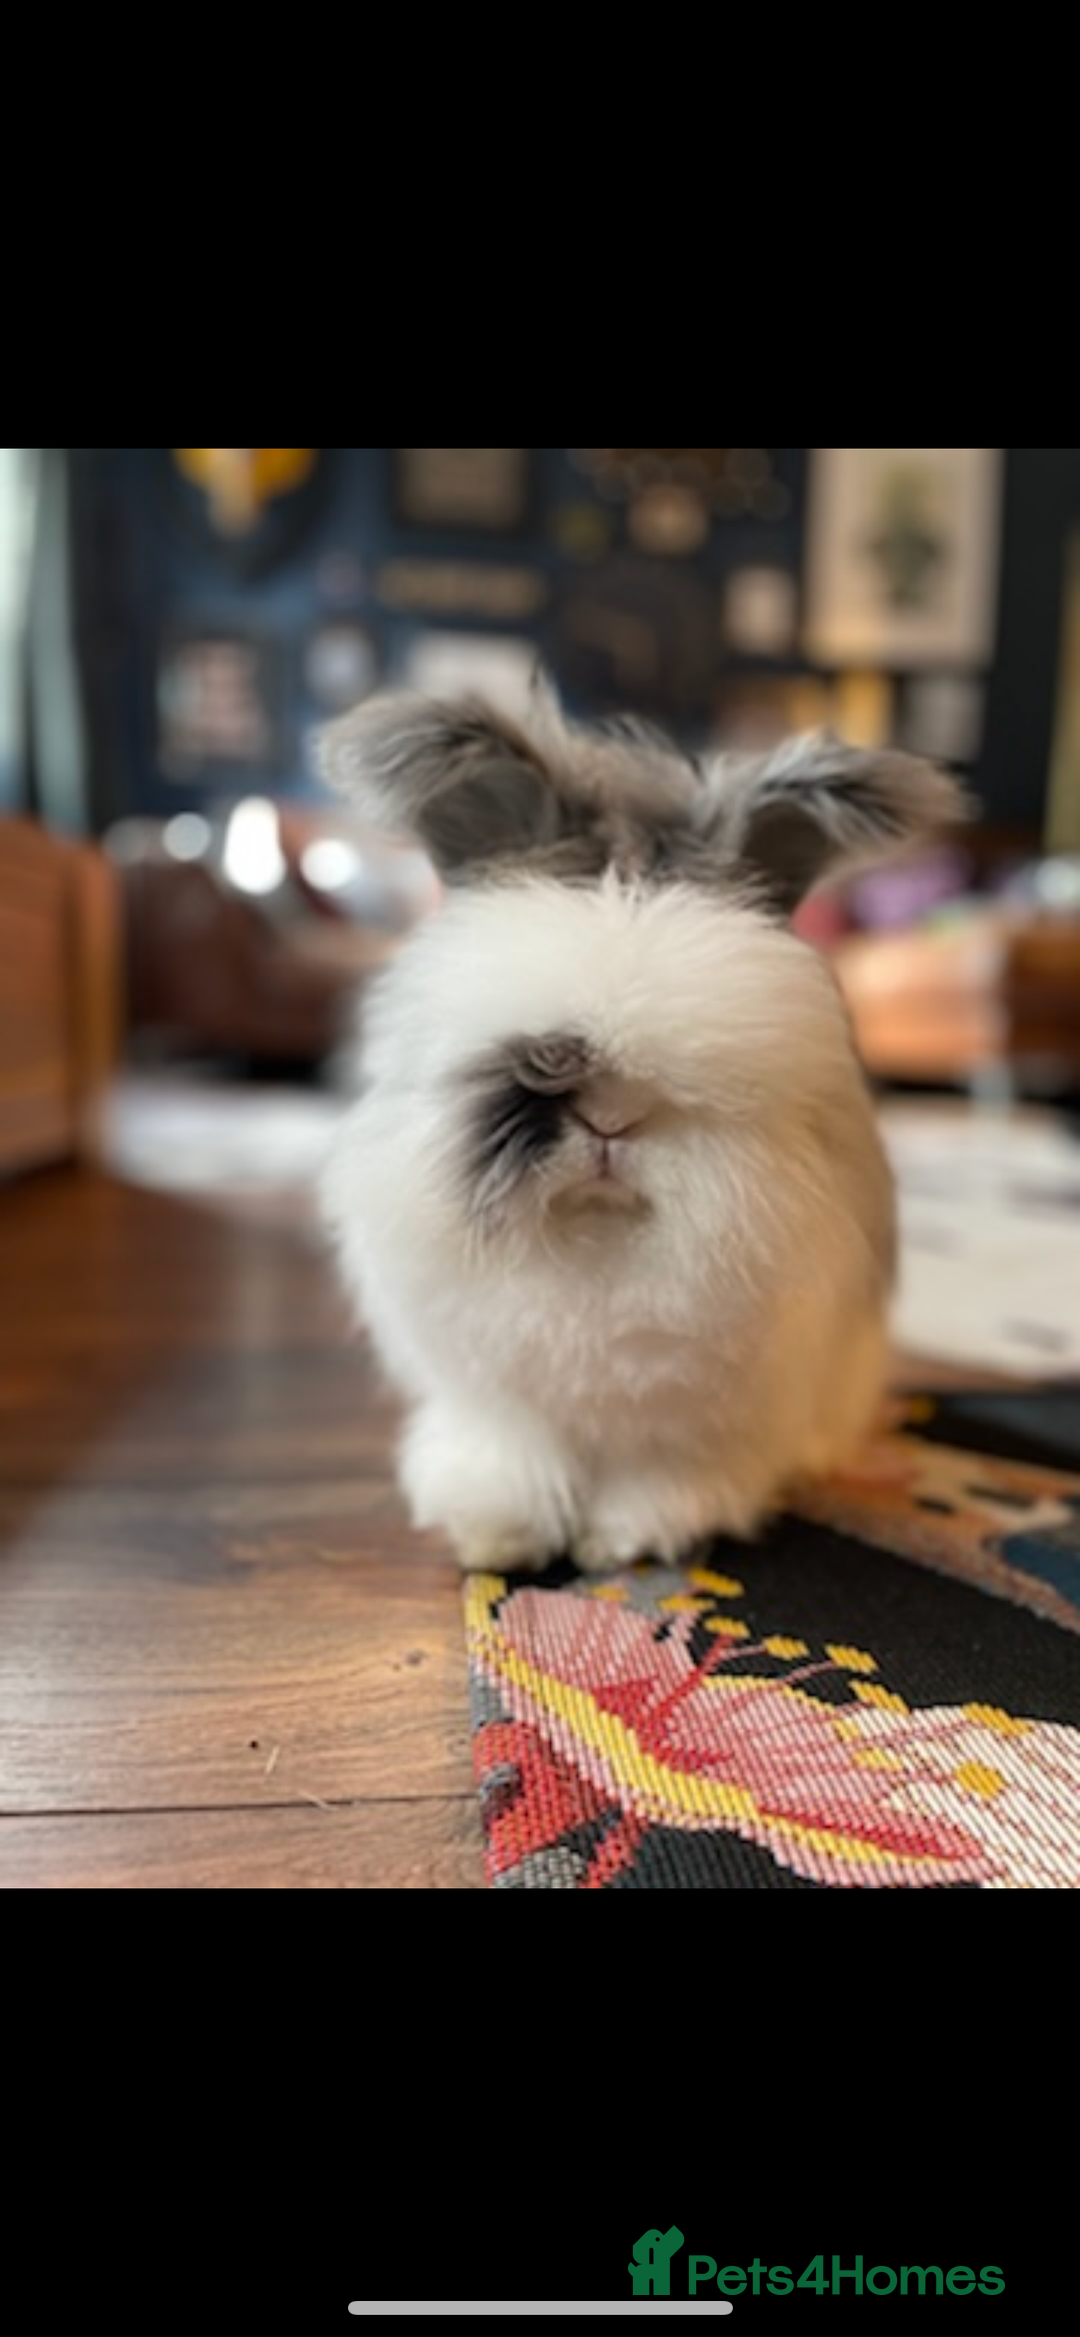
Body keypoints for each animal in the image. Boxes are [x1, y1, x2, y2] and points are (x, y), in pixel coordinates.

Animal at [318, 679, 967, 1573]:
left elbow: (661, 1472)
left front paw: (626, 1540)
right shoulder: (494, 1392)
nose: (609, 1121)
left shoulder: (696, 1413)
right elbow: (512, 1455)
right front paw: (498, 1534)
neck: (597, 1246)